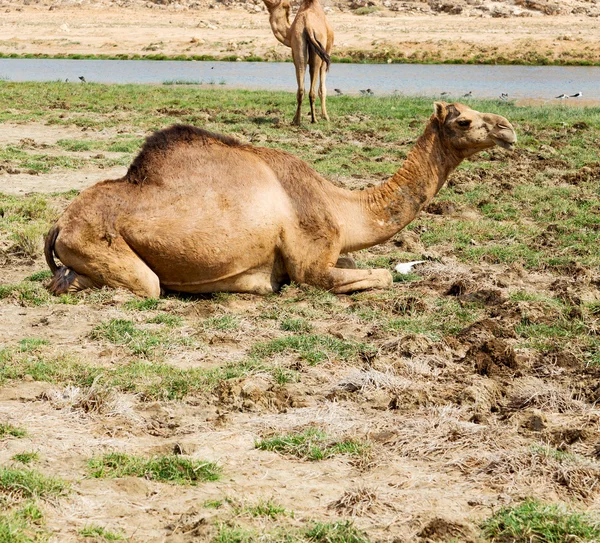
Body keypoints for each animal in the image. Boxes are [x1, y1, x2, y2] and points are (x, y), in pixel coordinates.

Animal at [44, 102, 516, 298]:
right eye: (464, 120)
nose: (508, 128)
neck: (339, 203)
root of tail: (59, 223)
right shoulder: (310, 263)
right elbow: (380, 276)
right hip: (99, 245)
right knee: (144, 285)